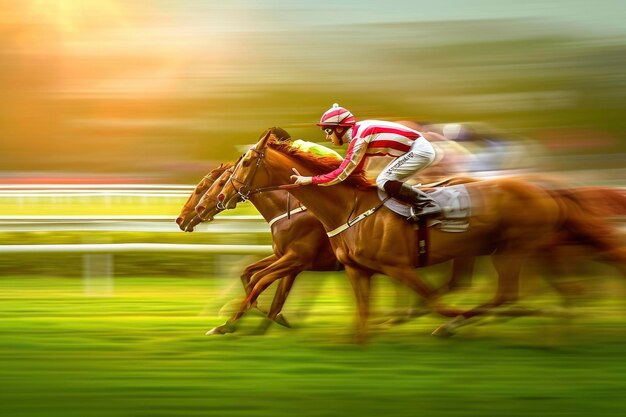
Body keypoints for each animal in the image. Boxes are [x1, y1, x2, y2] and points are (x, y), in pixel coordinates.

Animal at [216, 133, 624, 342]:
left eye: (246, 162)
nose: (224, 195)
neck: (346, 207)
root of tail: (545, 188)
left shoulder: (395, 266)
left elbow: (431, 299)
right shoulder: (355, 270)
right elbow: (361, 314)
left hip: (513, 249)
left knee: (509, 294)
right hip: (521, 251)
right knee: (557, 290)